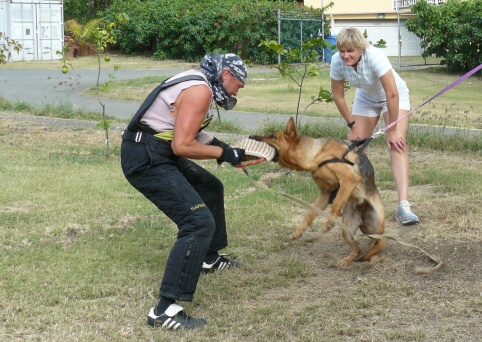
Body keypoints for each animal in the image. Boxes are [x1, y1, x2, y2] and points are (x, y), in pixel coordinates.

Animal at [250, 117, 386, 268]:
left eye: (272, 136)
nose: (251, 137)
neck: (316, 155)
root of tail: (363, 218)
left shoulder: (349, 179)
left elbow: (336, 203)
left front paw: (328, 223)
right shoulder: (325, 194)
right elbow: (310, 213)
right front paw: (298, 232)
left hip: (378, 225)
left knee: (376, 243)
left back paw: (374, 257)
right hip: (346, 230)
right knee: (359, 249)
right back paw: (347, 260)